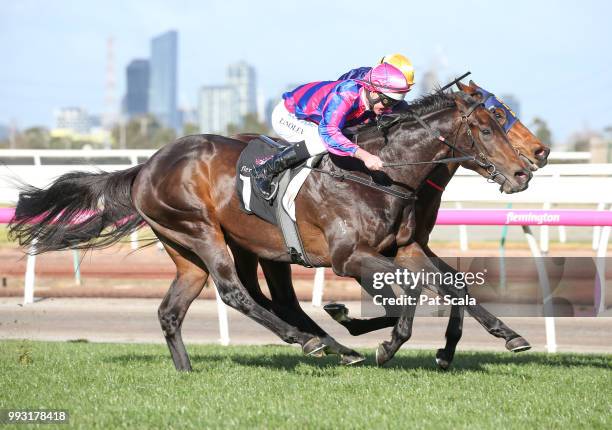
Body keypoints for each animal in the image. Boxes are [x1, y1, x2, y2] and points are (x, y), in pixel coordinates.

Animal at [9, 91, 532, 370]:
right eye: (488, 128)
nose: (524, 171)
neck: (381, 173)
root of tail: (146, 166)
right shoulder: (349, 257)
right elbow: (407, 293)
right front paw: (385, 343)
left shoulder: (404, 247)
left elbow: (451, 283)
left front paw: (506, 336)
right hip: (201, 232)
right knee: (236, 294)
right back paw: (314, 342)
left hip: (202, 250)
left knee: (179, 309)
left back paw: (191, 370)